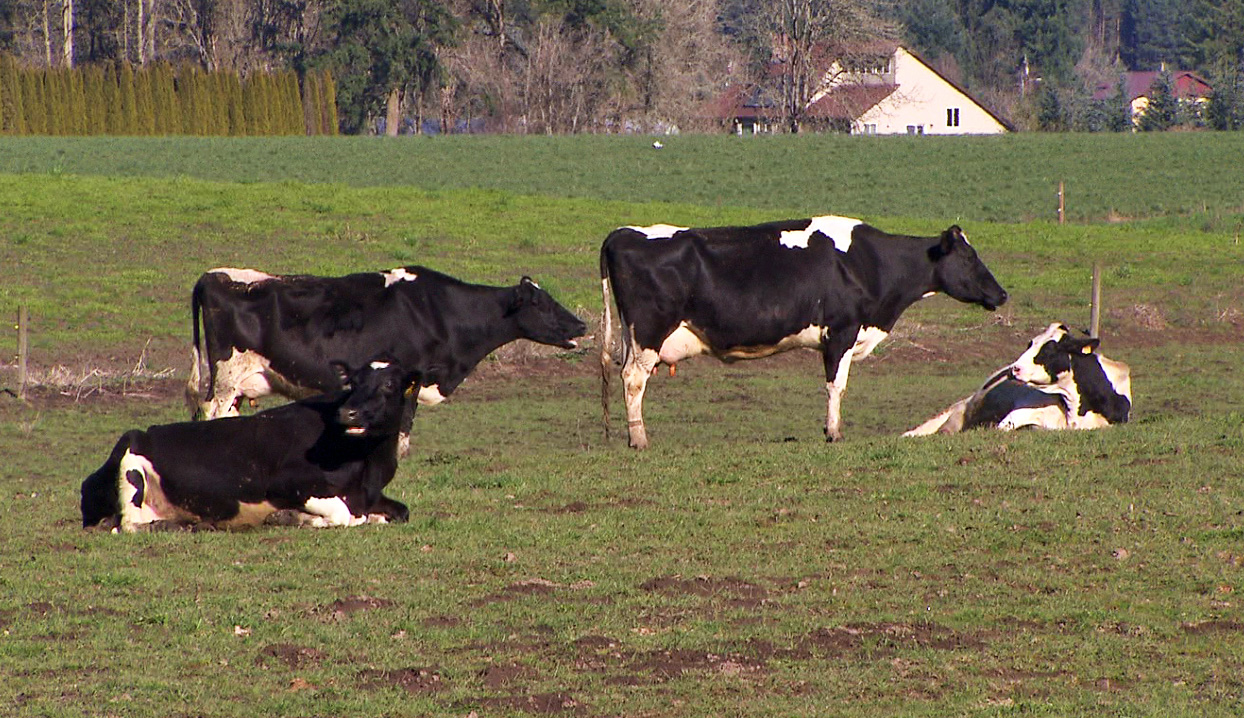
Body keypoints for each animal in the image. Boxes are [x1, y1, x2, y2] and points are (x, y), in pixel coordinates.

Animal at [83, 358, 422, 532]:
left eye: (389, 384)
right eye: (353, 382)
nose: (348, 412)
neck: (367, 465)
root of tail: (142, 433)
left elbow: (399, 511)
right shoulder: (288, 482)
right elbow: (342, 514)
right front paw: (294, 518)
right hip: (131, 470)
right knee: (130, 523)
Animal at [184, 263, 587, 450]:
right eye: (541, 303)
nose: (581, 325)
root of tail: (213, 275)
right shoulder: (411, 377)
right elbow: (403, 429)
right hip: (226, 376)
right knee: (211, 412)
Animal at [597, 214, 1005, 447]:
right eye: (969, 257)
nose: (1002, 294)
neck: (868, 262)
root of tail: (623, 233)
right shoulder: (842, 331)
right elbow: (836, 386)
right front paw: (834, 433)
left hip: (634, 336)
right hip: (649, 331)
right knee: (633, 379)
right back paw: (639, 438)